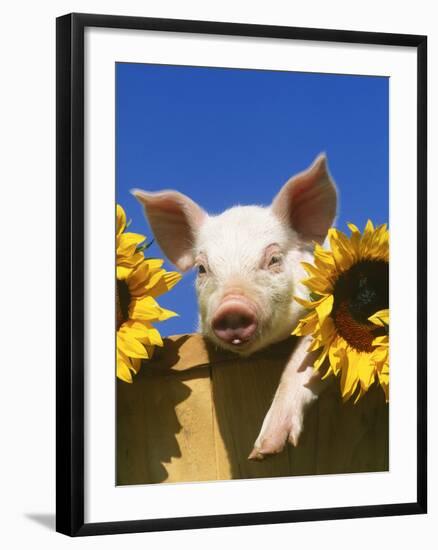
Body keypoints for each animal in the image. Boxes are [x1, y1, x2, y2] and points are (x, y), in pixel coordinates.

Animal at [133, 155, 338, 462]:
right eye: (201, 268)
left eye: (274, 259)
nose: (232, 307)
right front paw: (259, 454)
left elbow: (308, 353)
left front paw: (262, 451)